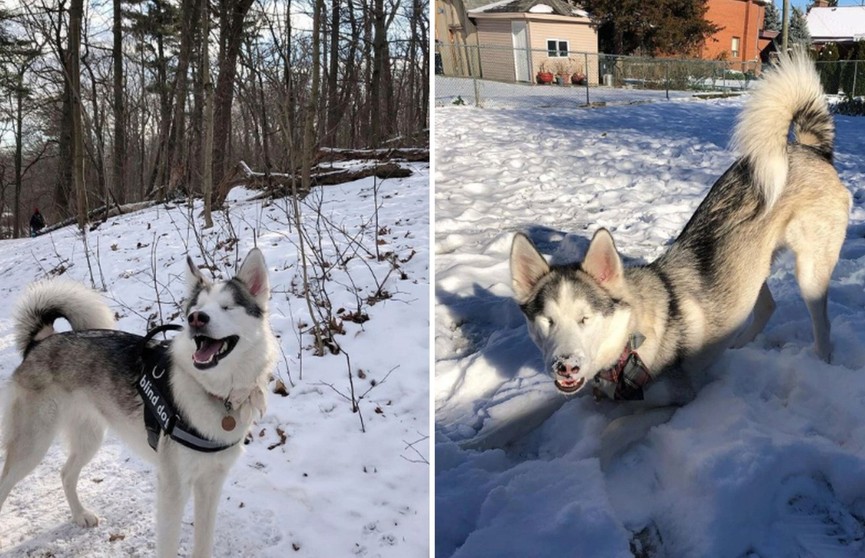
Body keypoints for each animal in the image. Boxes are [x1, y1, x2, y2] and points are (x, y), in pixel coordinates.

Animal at [510, 50, 848, 400]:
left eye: (584, 319)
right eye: (547, 321)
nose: (566, 366)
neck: (632, 339)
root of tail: (809, 149)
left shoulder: (679, 397)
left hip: (810, 273)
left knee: (821, 324)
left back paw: (821, 363)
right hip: (751, 267)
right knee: (767, 306)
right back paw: (739, 346)